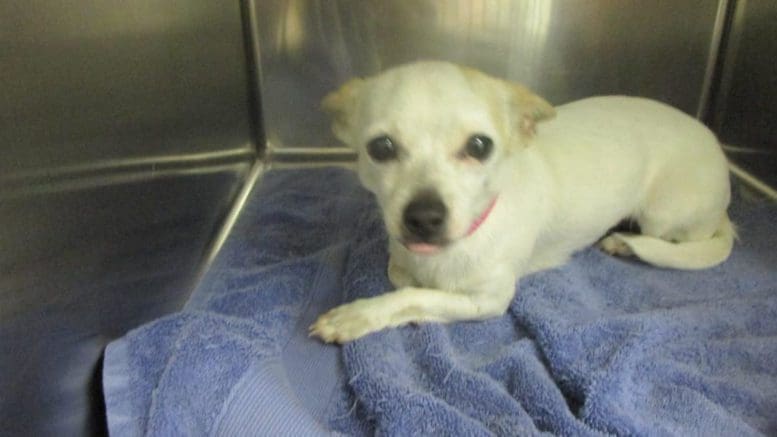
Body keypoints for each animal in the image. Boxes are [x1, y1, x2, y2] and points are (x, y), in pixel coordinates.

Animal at [308, 59, 728, 342]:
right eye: (381, 148)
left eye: (479, 146)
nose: (424, 217)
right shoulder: (403, 261)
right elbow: (404, 280)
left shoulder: (488, 302)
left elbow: (416, 297)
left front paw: (357, 315)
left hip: (663, 213)